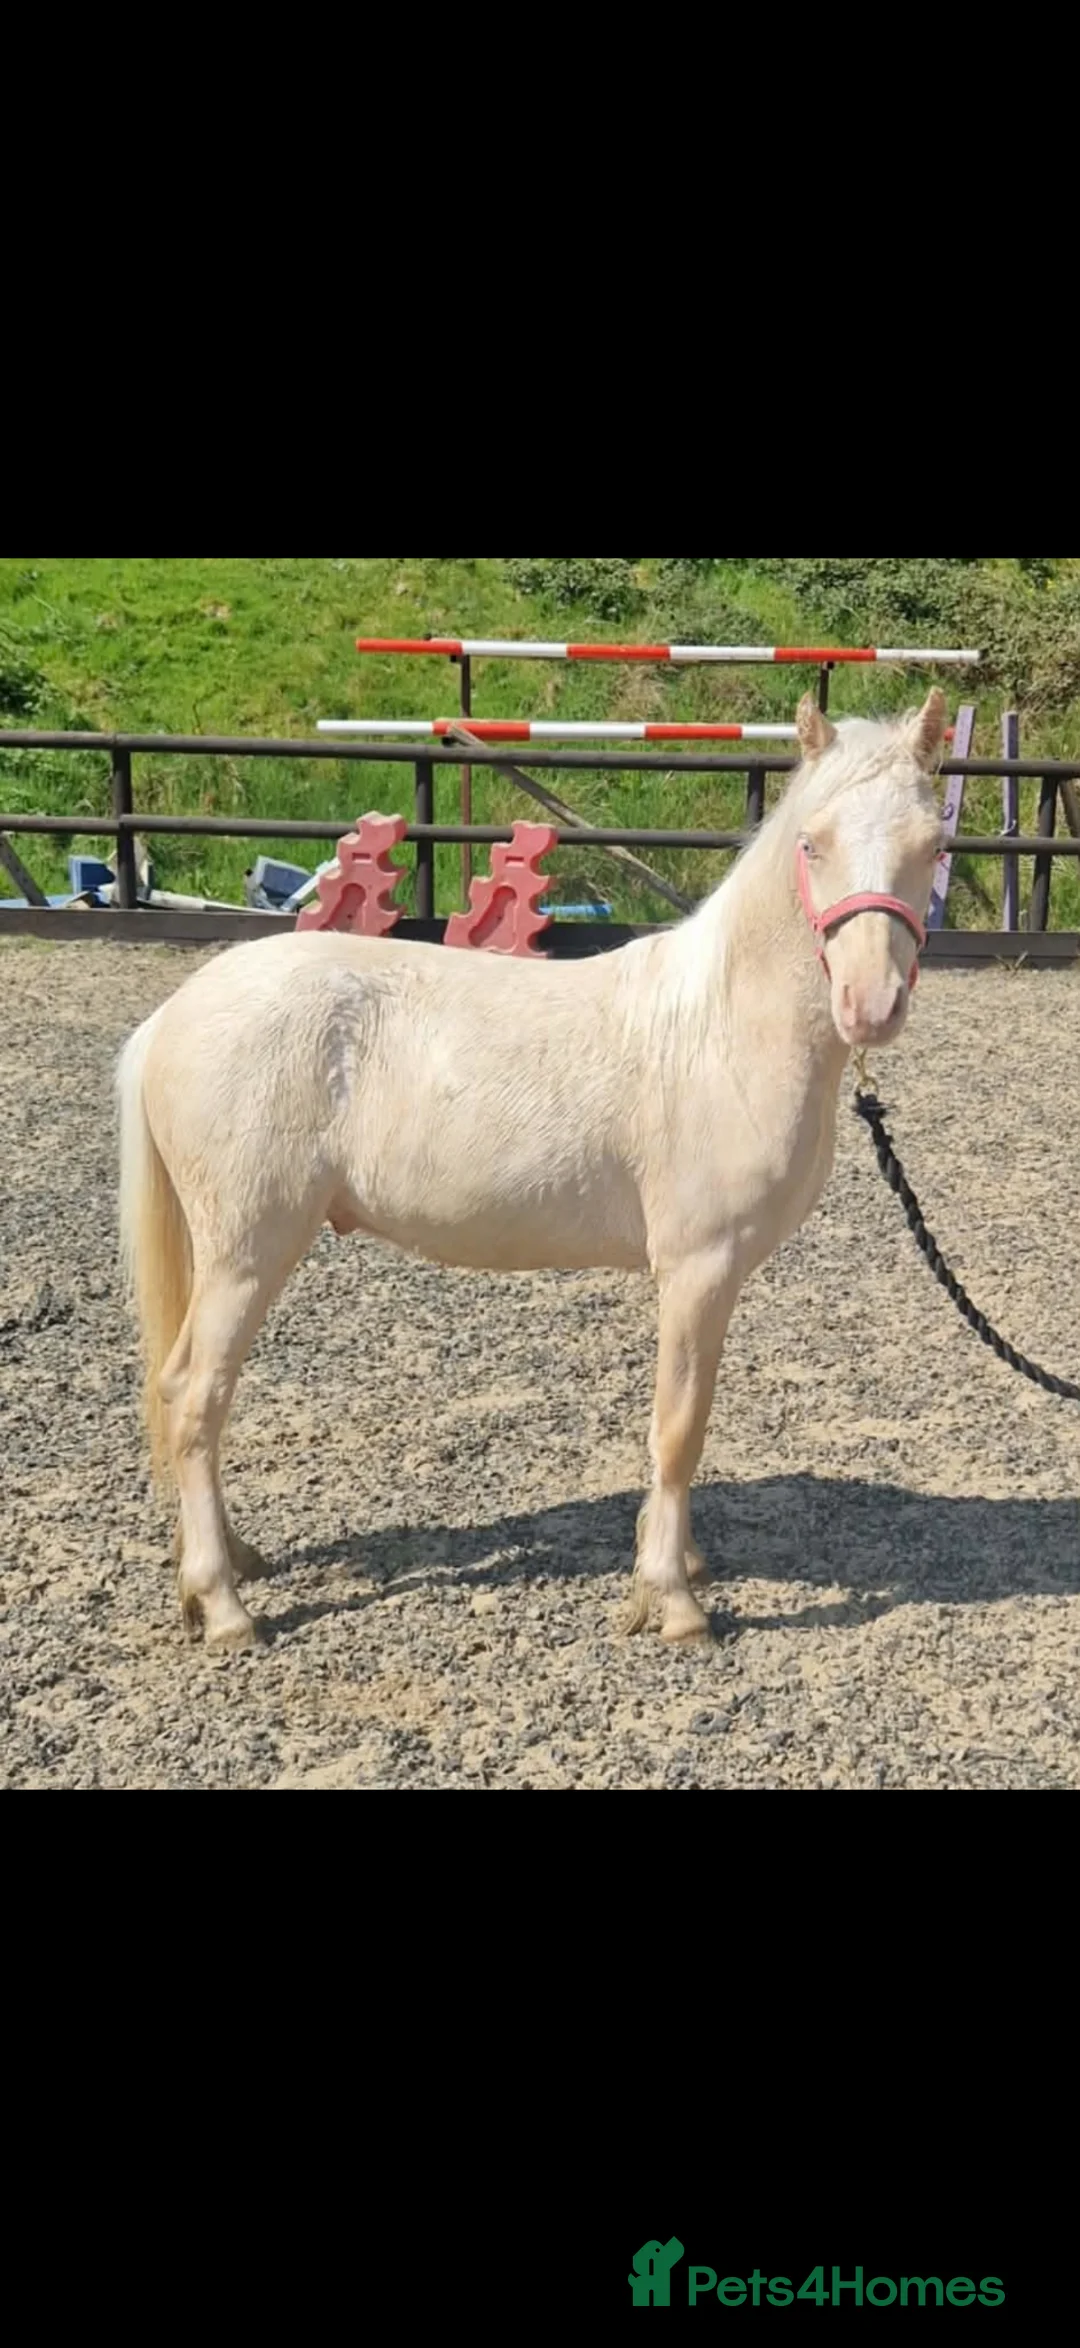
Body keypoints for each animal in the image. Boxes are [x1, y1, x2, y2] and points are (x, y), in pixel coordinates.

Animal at [116, 688, 948, 1652]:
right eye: (811, 843)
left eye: (934, 844)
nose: (870, 1004)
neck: (715, 1028)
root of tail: (172, 1015)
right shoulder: (697, 1269)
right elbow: (679, 1428)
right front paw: (671, 1600)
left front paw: (679, 1561)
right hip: (248, 1252)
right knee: (195, 1397)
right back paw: (222, 1604)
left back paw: (228, 1564)